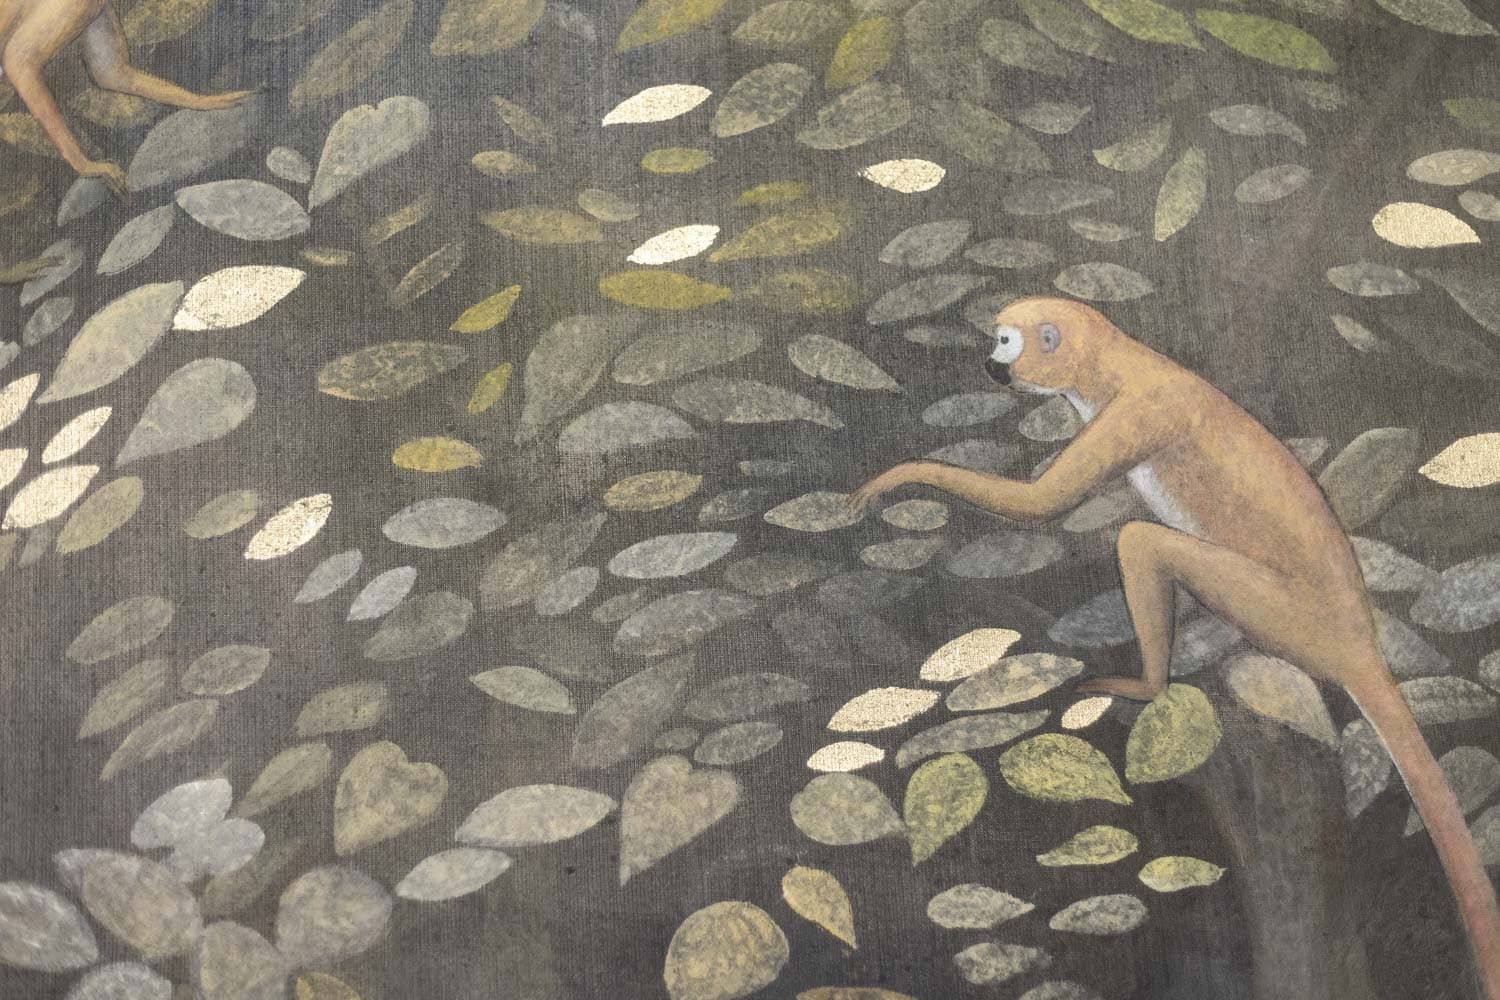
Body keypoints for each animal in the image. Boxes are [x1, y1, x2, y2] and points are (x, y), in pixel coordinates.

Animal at [0, 0, 254, 196]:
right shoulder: (74, 5)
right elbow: (18, 61)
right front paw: (89, 166)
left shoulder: (97, 8)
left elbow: (112, 74)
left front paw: (209, 101)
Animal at [848, 295, 1500, 1000]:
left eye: (1005, 341)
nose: (992, 366)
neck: (1121, 362)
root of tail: (1359, 641)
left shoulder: (1135, 413)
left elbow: (1040, 505)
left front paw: (902, 474)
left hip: (1283, 612)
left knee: (1143, 541)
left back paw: (1150, 684)